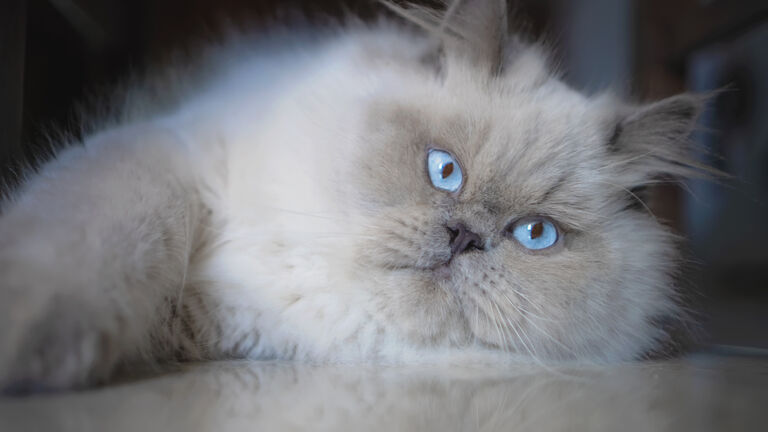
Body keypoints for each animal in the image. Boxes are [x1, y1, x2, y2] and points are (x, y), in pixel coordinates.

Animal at [0, 0, 704, 392]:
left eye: (535, 234)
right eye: (444, 170)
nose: (464, 238)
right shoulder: (178, 159)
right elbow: (101, 243)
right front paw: (31, 343)